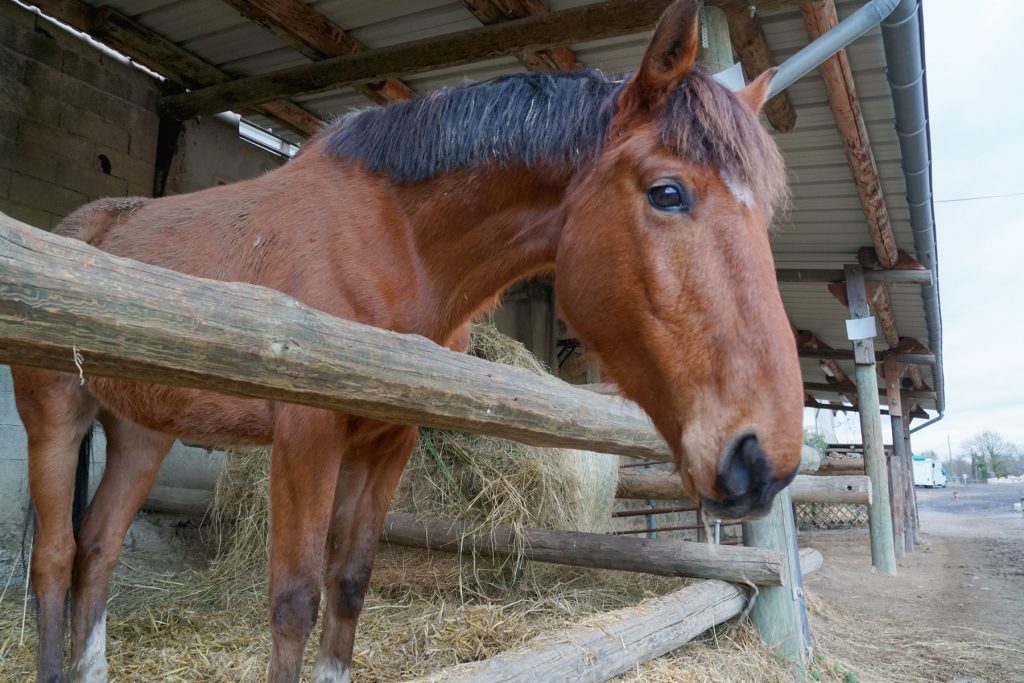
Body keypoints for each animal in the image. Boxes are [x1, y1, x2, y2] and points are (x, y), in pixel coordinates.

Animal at [11, 1, 804, 680]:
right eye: (668, 193)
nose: (762, 457)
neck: (396, 242)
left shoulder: (387, 440)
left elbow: (349, 586)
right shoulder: (306, 436)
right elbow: (294, 601)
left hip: (141, 430)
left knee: (99, 550)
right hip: (56, 419)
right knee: (54, 557)